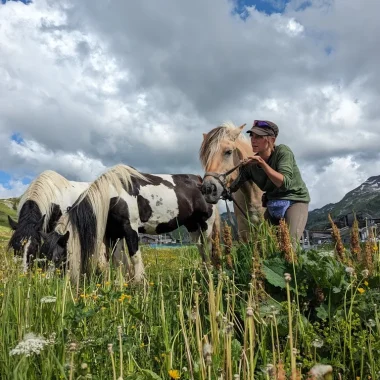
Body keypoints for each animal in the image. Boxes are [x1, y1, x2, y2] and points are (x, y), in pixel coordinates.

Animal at [41, 163, 220, 282]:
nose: (46, 283)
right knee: (202, 250)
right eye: (43, 256)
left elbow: (134, 257)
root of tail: (200, 181)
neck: (112, 196)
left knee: (208, 248)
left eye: (58, 258)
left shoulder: (130, 229)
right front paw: (120, 285)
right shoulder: (113, 234)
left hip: (206, 225)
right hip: (193, 227)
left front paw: (140, 286)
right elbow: (118, 261)